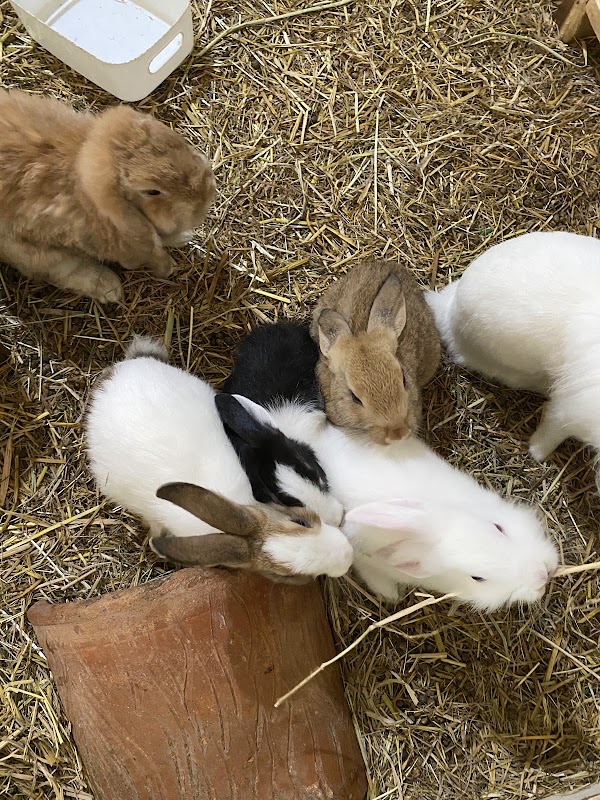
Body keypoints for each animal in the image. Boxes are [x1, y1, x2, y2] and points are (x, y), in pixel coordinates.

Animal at [0, 90, 216, 303]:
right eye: (152, 191)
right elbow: (63, 270)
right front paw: (110, 289)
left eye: (178, 143)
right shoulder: (34, 249)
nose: (207, 192)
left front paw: (184, 237)